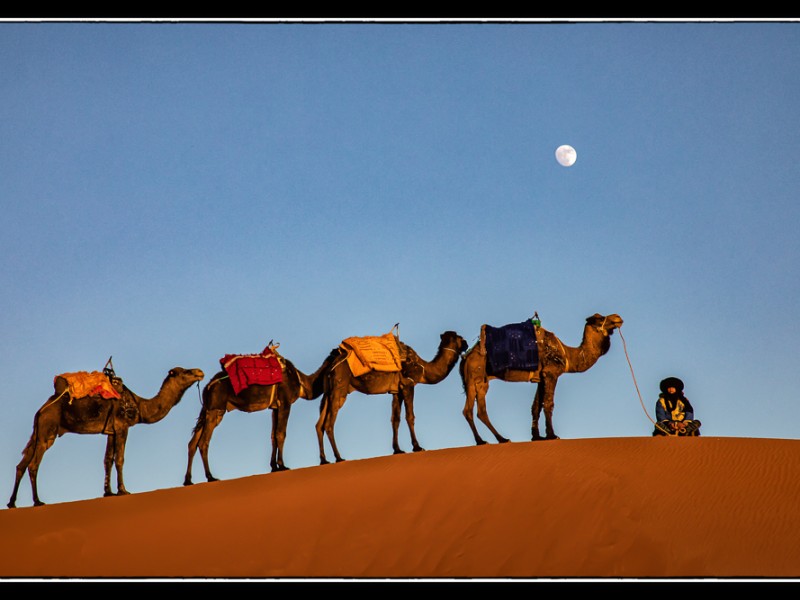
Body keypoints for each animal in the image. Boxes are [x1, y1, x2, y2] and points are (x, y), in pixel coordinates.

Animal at [9, 366, 203, 506]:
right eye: (185, 372)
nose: (199, 372)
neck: (140, 406)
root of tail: (41, 410)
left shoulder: (111, 431)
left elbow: (107, 459)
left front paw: (108, 492)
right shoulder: (122, 426)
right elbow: (120, 459)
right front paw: (123, 490)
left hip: (38, 432)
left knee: (21, 465)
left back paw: (12, 503)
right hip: (47, 430)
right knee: (33, 464)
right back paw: (37, 501)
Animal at [184, 352, 340, 482]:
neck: (300, 381)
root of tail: (208, 386)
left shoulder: (275, 408)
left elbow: (273, 436)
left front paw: (274, 467)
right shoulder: (285, 403)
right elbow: (281, 434)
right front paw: (282, 465)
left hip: (208, 409)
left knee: (192, 443)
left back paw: (188, 480)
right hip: (216, 408)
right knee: (203, 442)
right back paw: (210, 477)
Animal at [314, 332, 468, 464]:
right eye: (460, 338)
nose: (466, 344)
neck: (423, 369)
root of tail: (331, 364)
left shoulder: (396, 391)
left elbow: (395, 419)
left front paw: (397, 449)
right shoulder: (408, 384)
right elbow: (410, 416)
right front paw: (417, 447)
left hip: (328, 392)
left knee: (319, 424)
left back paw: (324, 460)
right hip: (339, 388)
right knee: (329, 423)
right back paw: (339, 458)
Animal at [456, 314, 624, 446]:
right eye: (601, 318)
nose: (617, 317)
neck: (567, 355)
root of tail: (466, 357)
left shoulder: (540, 378)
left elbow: (536, 406)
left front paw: (536, 437)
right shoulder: (551, 373)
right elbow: (549, 404)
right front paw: (552, 435)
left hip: (482, 381)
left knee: (481, 410)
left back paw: (501, 439)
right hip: (474, 376)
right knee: (468, 410)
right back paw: (481, 441)